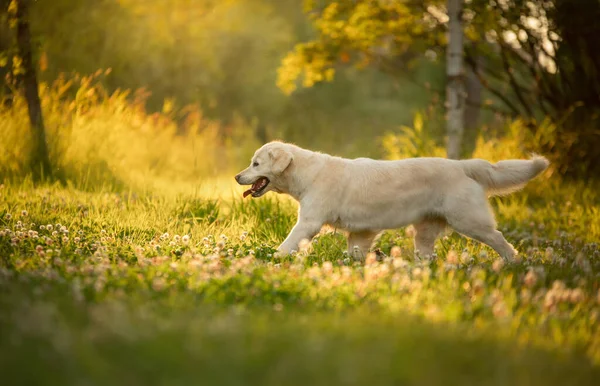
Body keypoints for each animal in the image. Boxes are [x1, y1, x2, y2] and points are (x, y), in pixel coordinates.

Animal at [234, 142, 548, 262]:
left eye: (255, 163)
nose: (237, 176)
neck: (307, 173)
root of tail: (463, 165)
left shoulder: (309, 222)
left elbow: (288, 243)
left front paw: (272, 258)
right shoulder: (361, 232)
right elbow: (356, 252)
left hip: (469, 220)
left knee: (499, 239)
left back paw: (513, 262)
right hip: (425, 231)